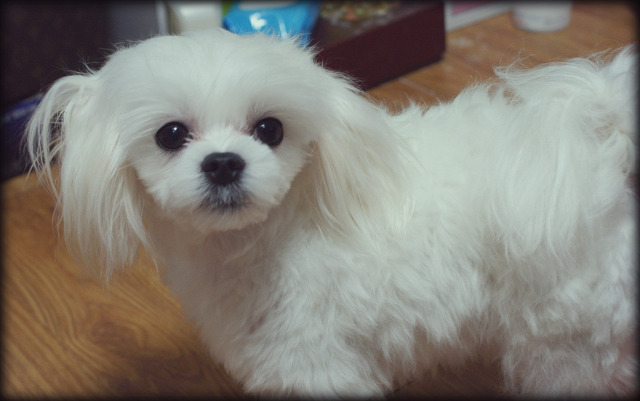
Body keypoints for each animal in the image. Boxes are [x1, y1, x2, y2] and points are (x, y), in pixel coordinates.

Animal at [26, 28, 636, 397]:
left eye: (269, 129)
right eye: (171, 134)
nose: (223, 163)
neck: (269, 238)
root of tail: (600, 148)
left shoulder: (317, 364)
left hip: (567, 347)